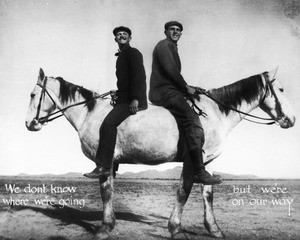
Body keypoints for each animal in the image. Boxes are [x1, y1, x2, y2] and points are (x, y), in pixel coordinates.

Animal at [25, 68, 296, 239]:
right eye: (281, 89)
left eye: (32, 95)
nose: (29, 123)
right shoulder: (108, 162)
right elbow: (110, 193)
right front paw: (108, 228)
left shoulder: (204, 163)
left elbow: (205, 195)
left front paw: (214, 230)